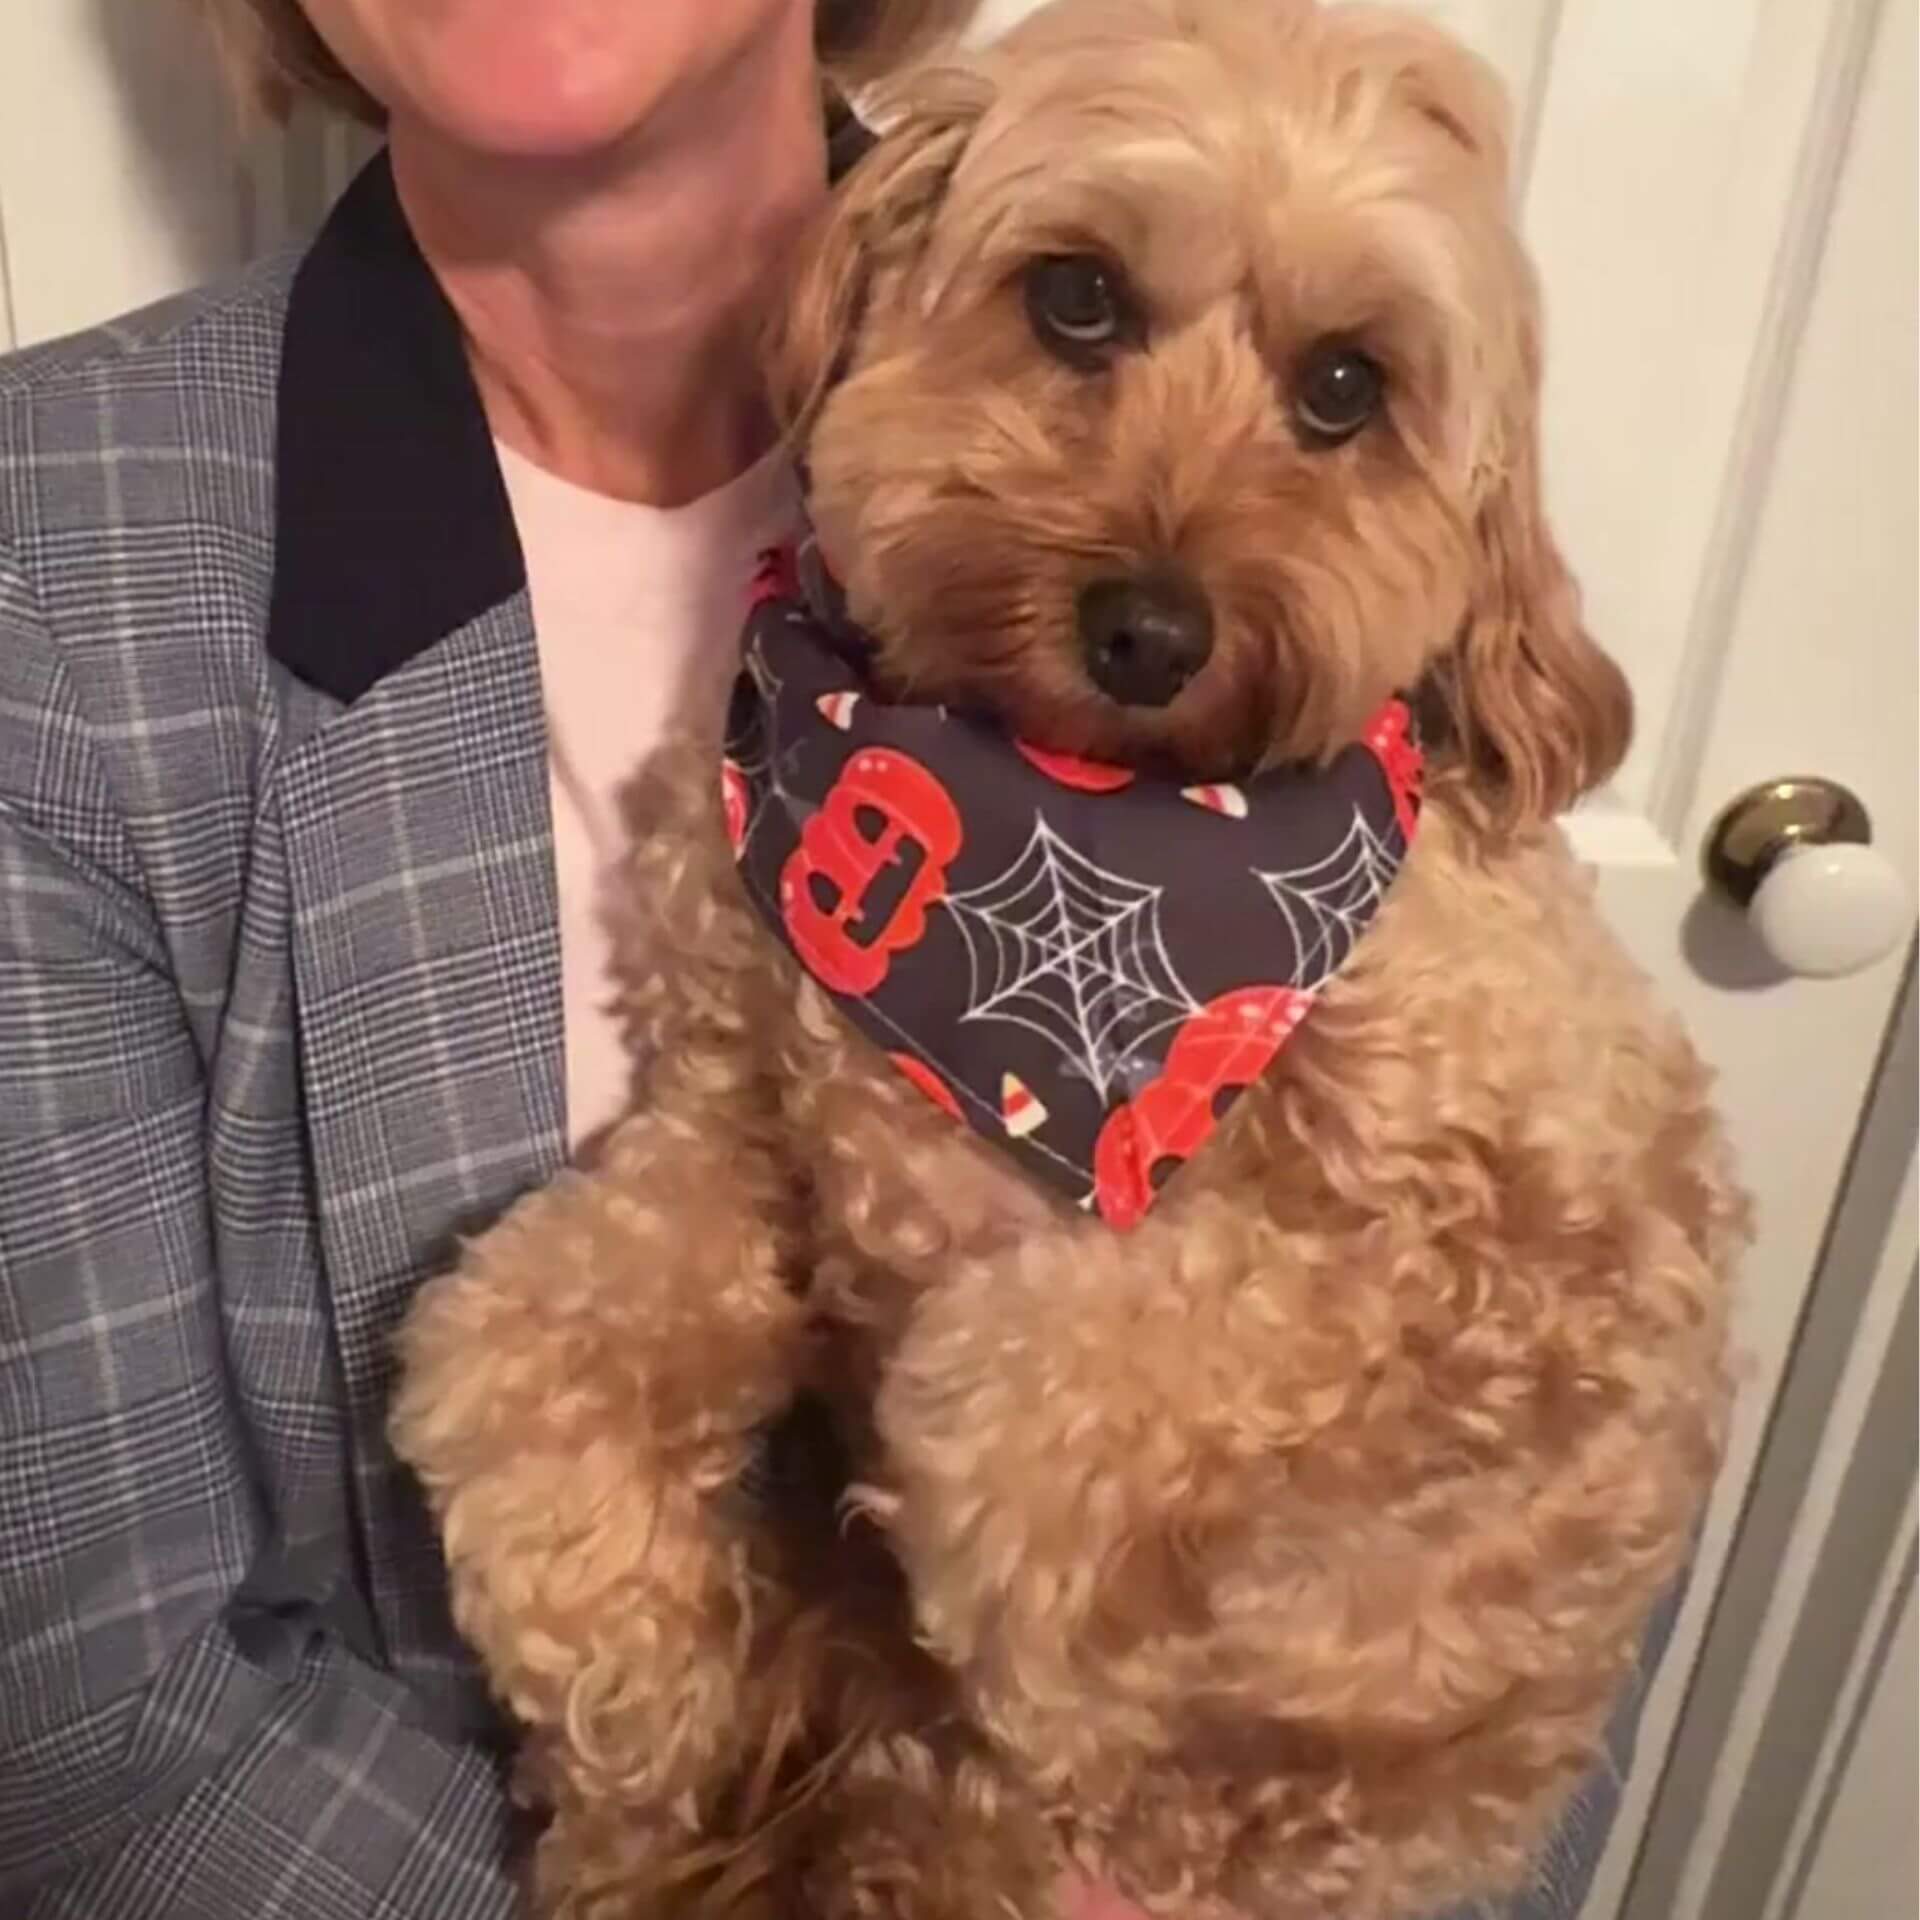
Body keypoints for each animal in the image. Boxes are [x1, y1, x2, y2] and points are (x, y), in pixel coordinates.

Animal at [385, 7, 1743, 1912]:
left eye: (1346, 388)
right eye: (1078, 296)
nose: (1153, 631)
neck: (1071, 794)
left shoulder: (1551, 1260)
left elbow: (1043, 1386)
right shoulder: (742, 1139)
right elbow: (513, 1338)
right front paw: (641, 1680)